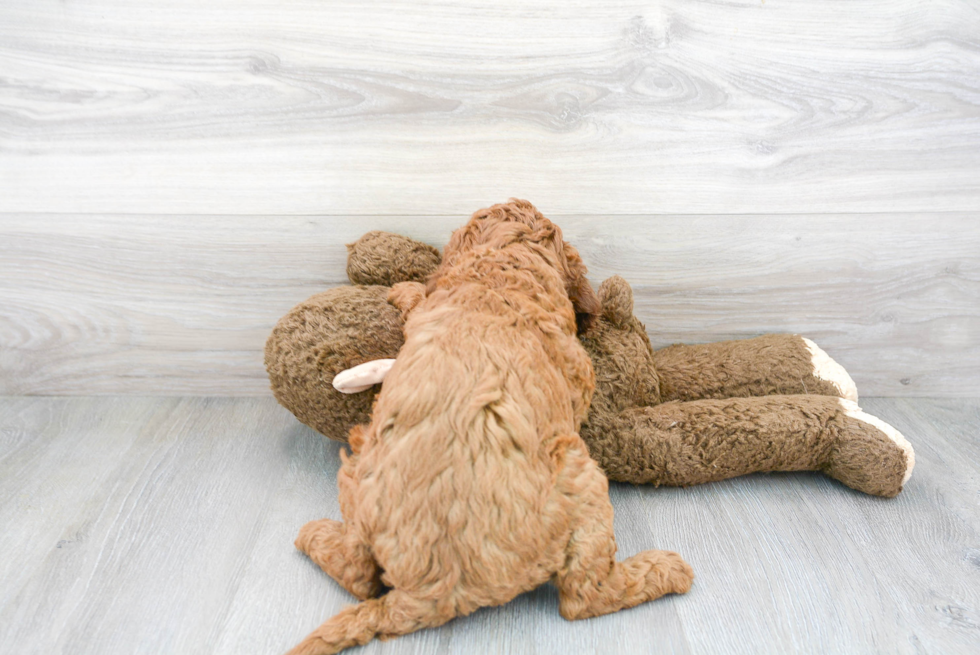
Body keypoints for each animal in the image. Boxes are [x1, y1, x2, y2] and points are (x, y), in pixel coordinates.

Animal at [288, 201, 692, 655]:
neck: (503, 270)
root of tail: (424, 595)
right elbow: (419, 297)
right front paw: (405, 287)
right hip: (582, 473)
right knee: (584, 597)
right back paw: (667, 569)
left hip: (361, 472)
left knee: (358, 575)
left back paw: (314, 534)